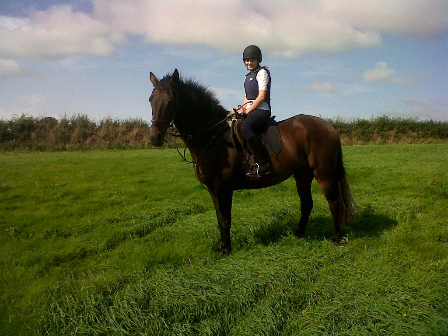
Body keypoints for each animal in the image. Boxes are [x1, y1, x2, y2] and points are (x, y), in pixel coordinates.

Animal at [149, 70, 356, 255]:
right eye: (151, 99)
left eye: (170, 101)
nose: (154, 138)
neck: (213, 137)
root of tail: (330, 126)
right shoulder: (212, 189)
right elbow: (220, 218)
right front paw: (224, 248)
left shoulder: (222, 187)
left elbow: (225, 219)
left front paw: (226, 251)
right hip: (303, 175)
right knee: (307, 204)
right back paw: (298, 235)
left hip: (324, 174)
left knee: (334, 203)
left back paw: (335, 238)